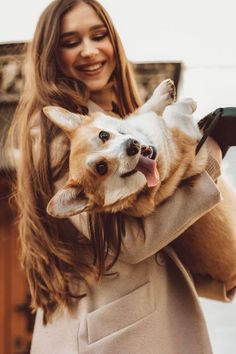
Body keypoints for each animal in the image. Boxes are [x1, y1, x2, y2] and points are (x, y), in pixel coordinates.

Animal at [43, 79, 236, 284]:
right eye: (101, 168)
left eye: (103, 135)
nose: (132, 146)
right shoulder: (184, 140)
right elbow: (171, 114)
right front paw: (182, 105)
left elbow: (140, 114)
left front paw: (162, 95)